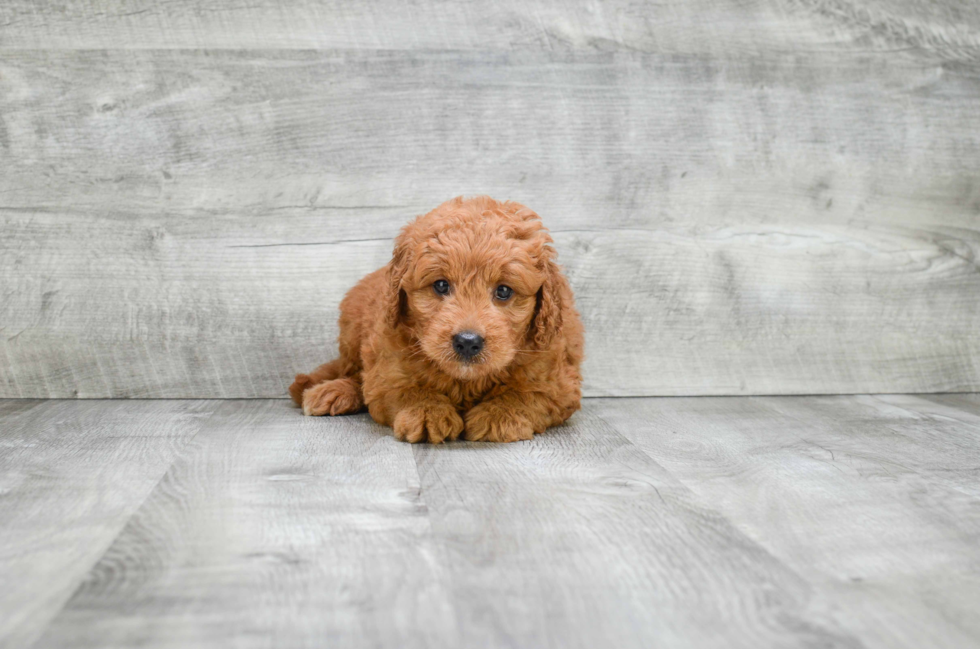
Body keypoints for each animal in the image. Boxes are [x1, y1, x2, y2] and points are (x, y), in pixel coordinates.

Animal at [290, 195, 580, 442]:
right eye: (441, 285)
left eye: (504, 291)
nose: (467, 341)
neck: (465, 380)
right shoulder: (388, 365)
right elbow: (406, 389)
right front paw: (427, 413)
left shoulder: (559, 381)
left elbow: (528, 393)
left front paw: (499, 415)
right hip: (352, 332)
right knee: (352, 372)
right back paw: (332, 391)